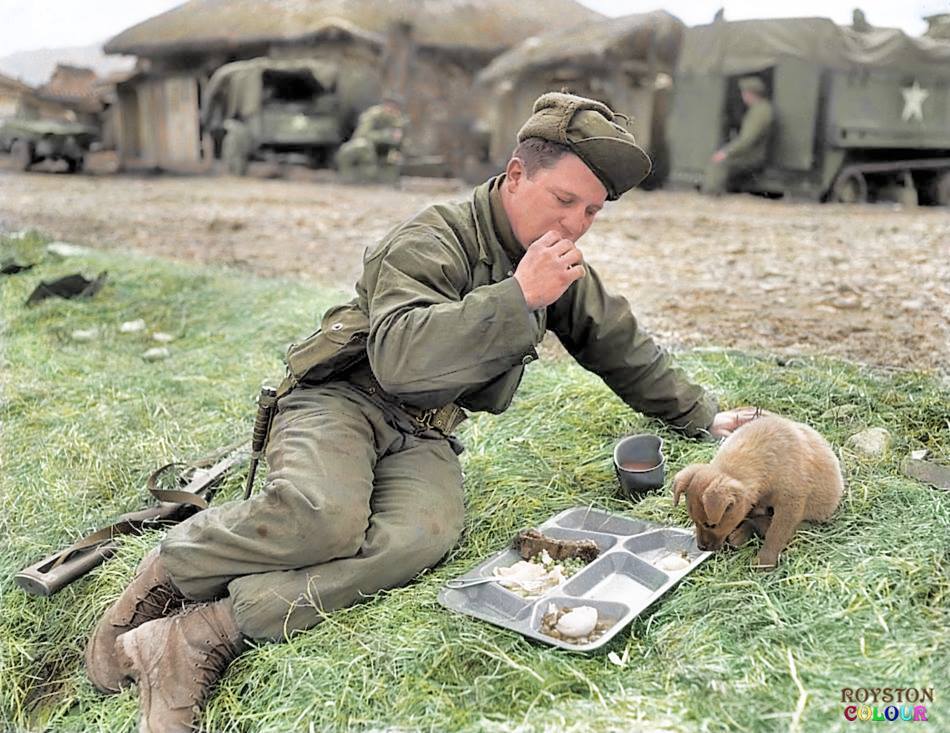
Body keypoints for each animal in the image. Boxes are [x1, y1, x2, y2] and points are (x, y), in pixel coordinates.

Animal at [672, 418, 844, 568]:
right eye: (695, 520)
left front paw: (764, 561)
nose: (701, 547)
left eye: (711, 525)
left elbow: (776, 534)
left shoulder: (790, 504)